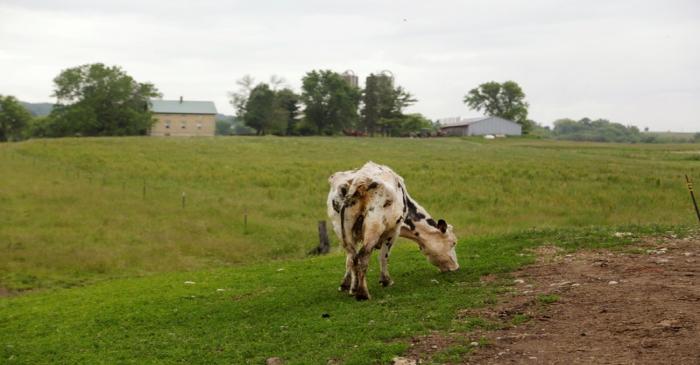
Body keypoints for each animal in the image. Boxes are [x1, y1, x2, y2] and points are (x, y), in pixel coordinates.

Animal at [326, 161, 460, 298]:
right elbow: (384, 256)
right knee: (363, 255)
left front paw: (348, 286)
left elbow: (349, 260)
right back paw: (363, 294)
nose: (456, 267)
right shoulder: (393, 231)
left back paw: (356, 289)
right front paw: (386, 280)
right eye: (453, 243)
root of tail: (357, 181)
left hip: (341, 228)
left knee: (353, 256)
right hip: (374, 226)